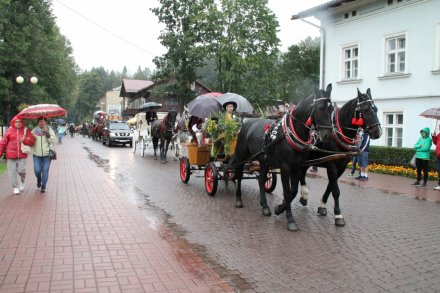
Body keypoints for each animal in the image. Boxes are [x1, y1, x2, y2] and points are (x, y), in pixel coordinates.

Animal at [232, 82, 332, 230]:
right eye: (320, 108)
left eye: (332, 109)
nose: (328, 135)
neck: (291, 133)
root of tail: (247, 122)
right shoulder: (285, 167)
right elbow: (287, 191)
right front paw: (289, 218)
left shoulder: (296, 167)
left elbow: (293, 191)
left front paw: (279, 209)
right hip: (242, 156)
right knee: (238, 175)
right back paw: (238, 199)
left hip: (264, 161)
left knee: (261, 179)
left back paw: (265, 207)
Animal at [298, 88, 384, 226]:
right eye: (366, 109)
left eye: (375, 109)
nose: (378, 132)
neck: (338, 133)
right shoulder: (332, 166)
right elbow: (336, 191)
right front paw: (338, 215)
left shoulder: (341, 167)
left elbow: (330, 186)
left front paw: (322, 206)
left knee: (301, 173)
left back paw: (304, 196)